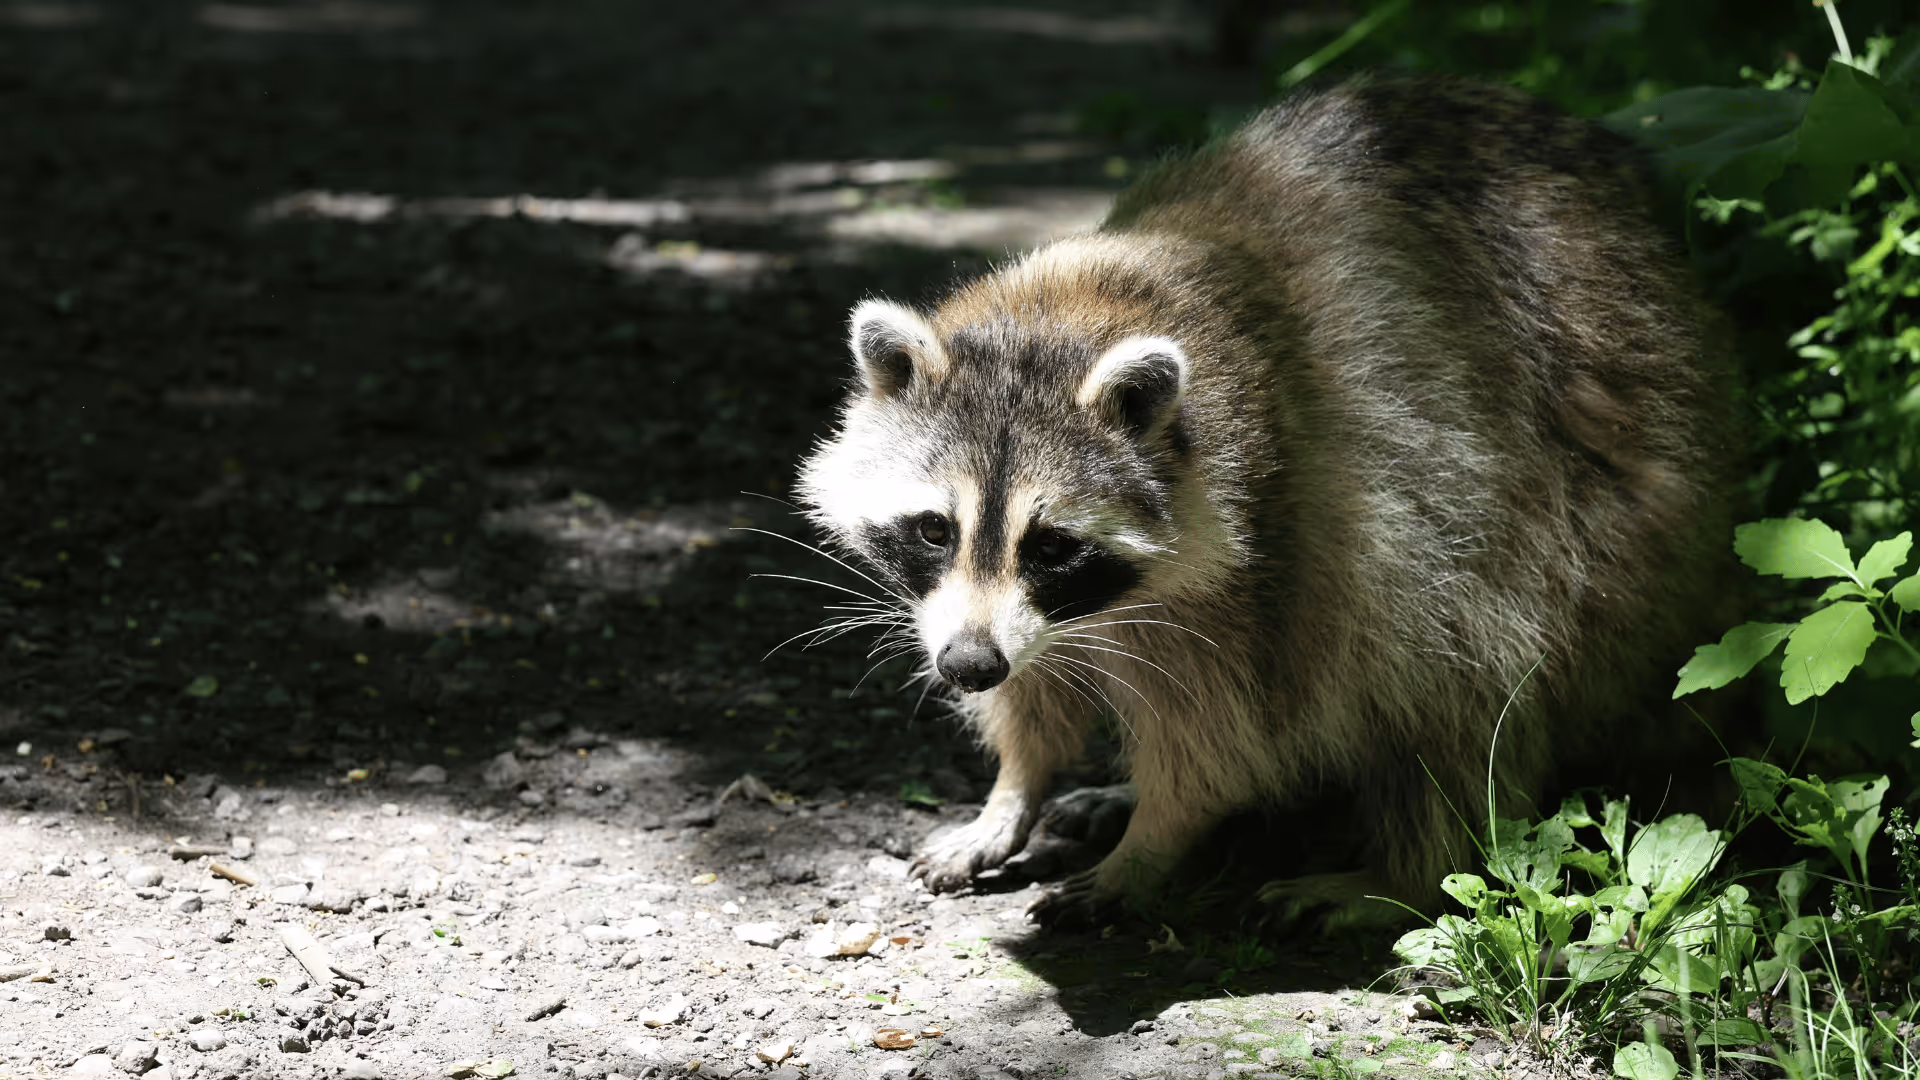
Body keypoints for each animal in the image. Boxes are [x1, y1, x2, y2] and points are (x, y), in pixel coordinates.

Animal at [793, 75, 1732, 921]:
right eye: (933, 529)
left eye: (1052, 544)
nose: (967, 665)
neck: (1071, 310)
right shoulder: (1014, 614)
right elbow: (1035, 690)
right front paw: (1014, 788)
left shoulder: (1293, 535)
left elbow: (1236, 731)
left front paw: (1156, 838)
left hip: (1597, 526)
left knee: (1466, 658)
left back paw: (1406, 870)